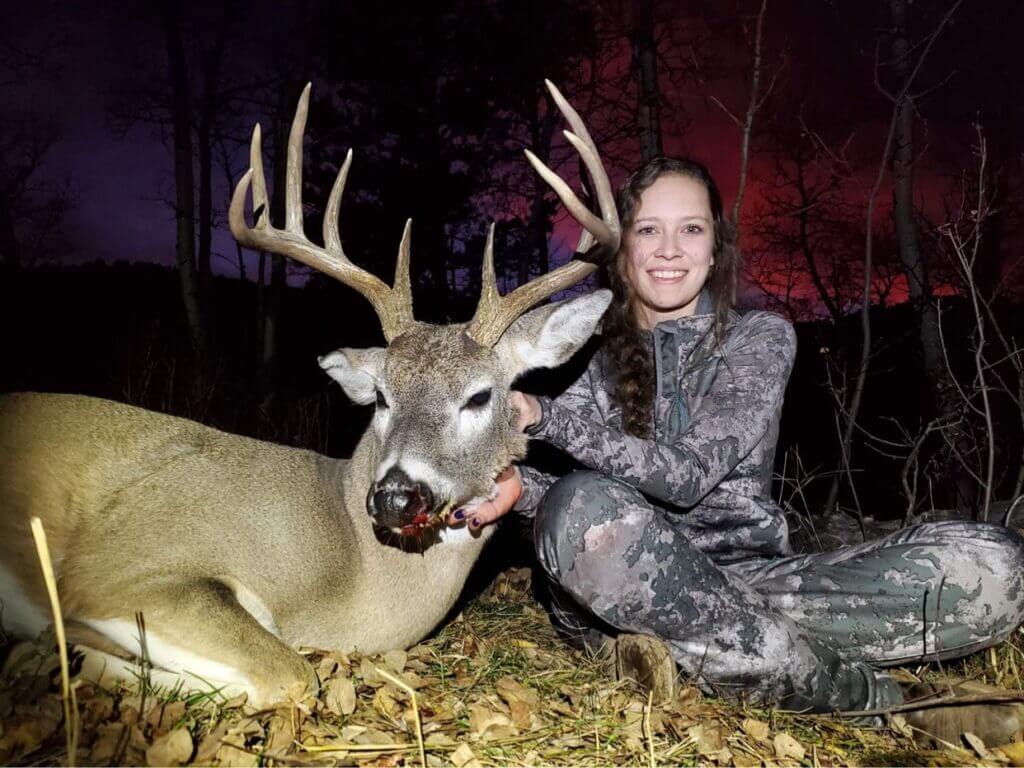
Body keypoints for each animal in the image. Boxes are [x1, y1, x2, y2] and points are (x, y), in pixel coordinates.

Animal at [0, 81, 620, 707]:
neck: (346, 565)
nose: (395, 496)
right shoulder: (122, 565)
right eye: (381, 396)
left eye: (479, 396)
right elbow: (292, 673)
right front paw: (64, 651)